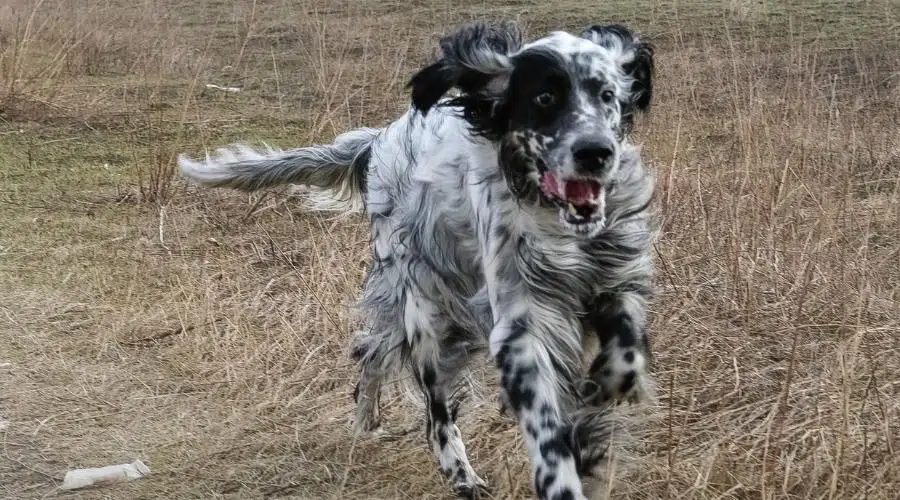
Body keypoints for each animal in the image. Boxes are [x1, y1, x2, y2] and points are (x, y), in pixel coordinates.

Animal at [178, 21, 652, 500]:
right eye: (544, 98)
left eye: (607, 94)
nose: (595, 152)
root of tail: (379, 140)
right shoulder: (521, 327)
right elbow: (547, 433)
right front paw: (563, 475)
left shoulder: (615, 275)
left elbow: (624, 344)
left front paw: (606, 395)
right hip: (427, 315)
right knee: (433, 410)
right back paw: (459, 472)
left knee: (371, 350)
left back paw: (367, 419)